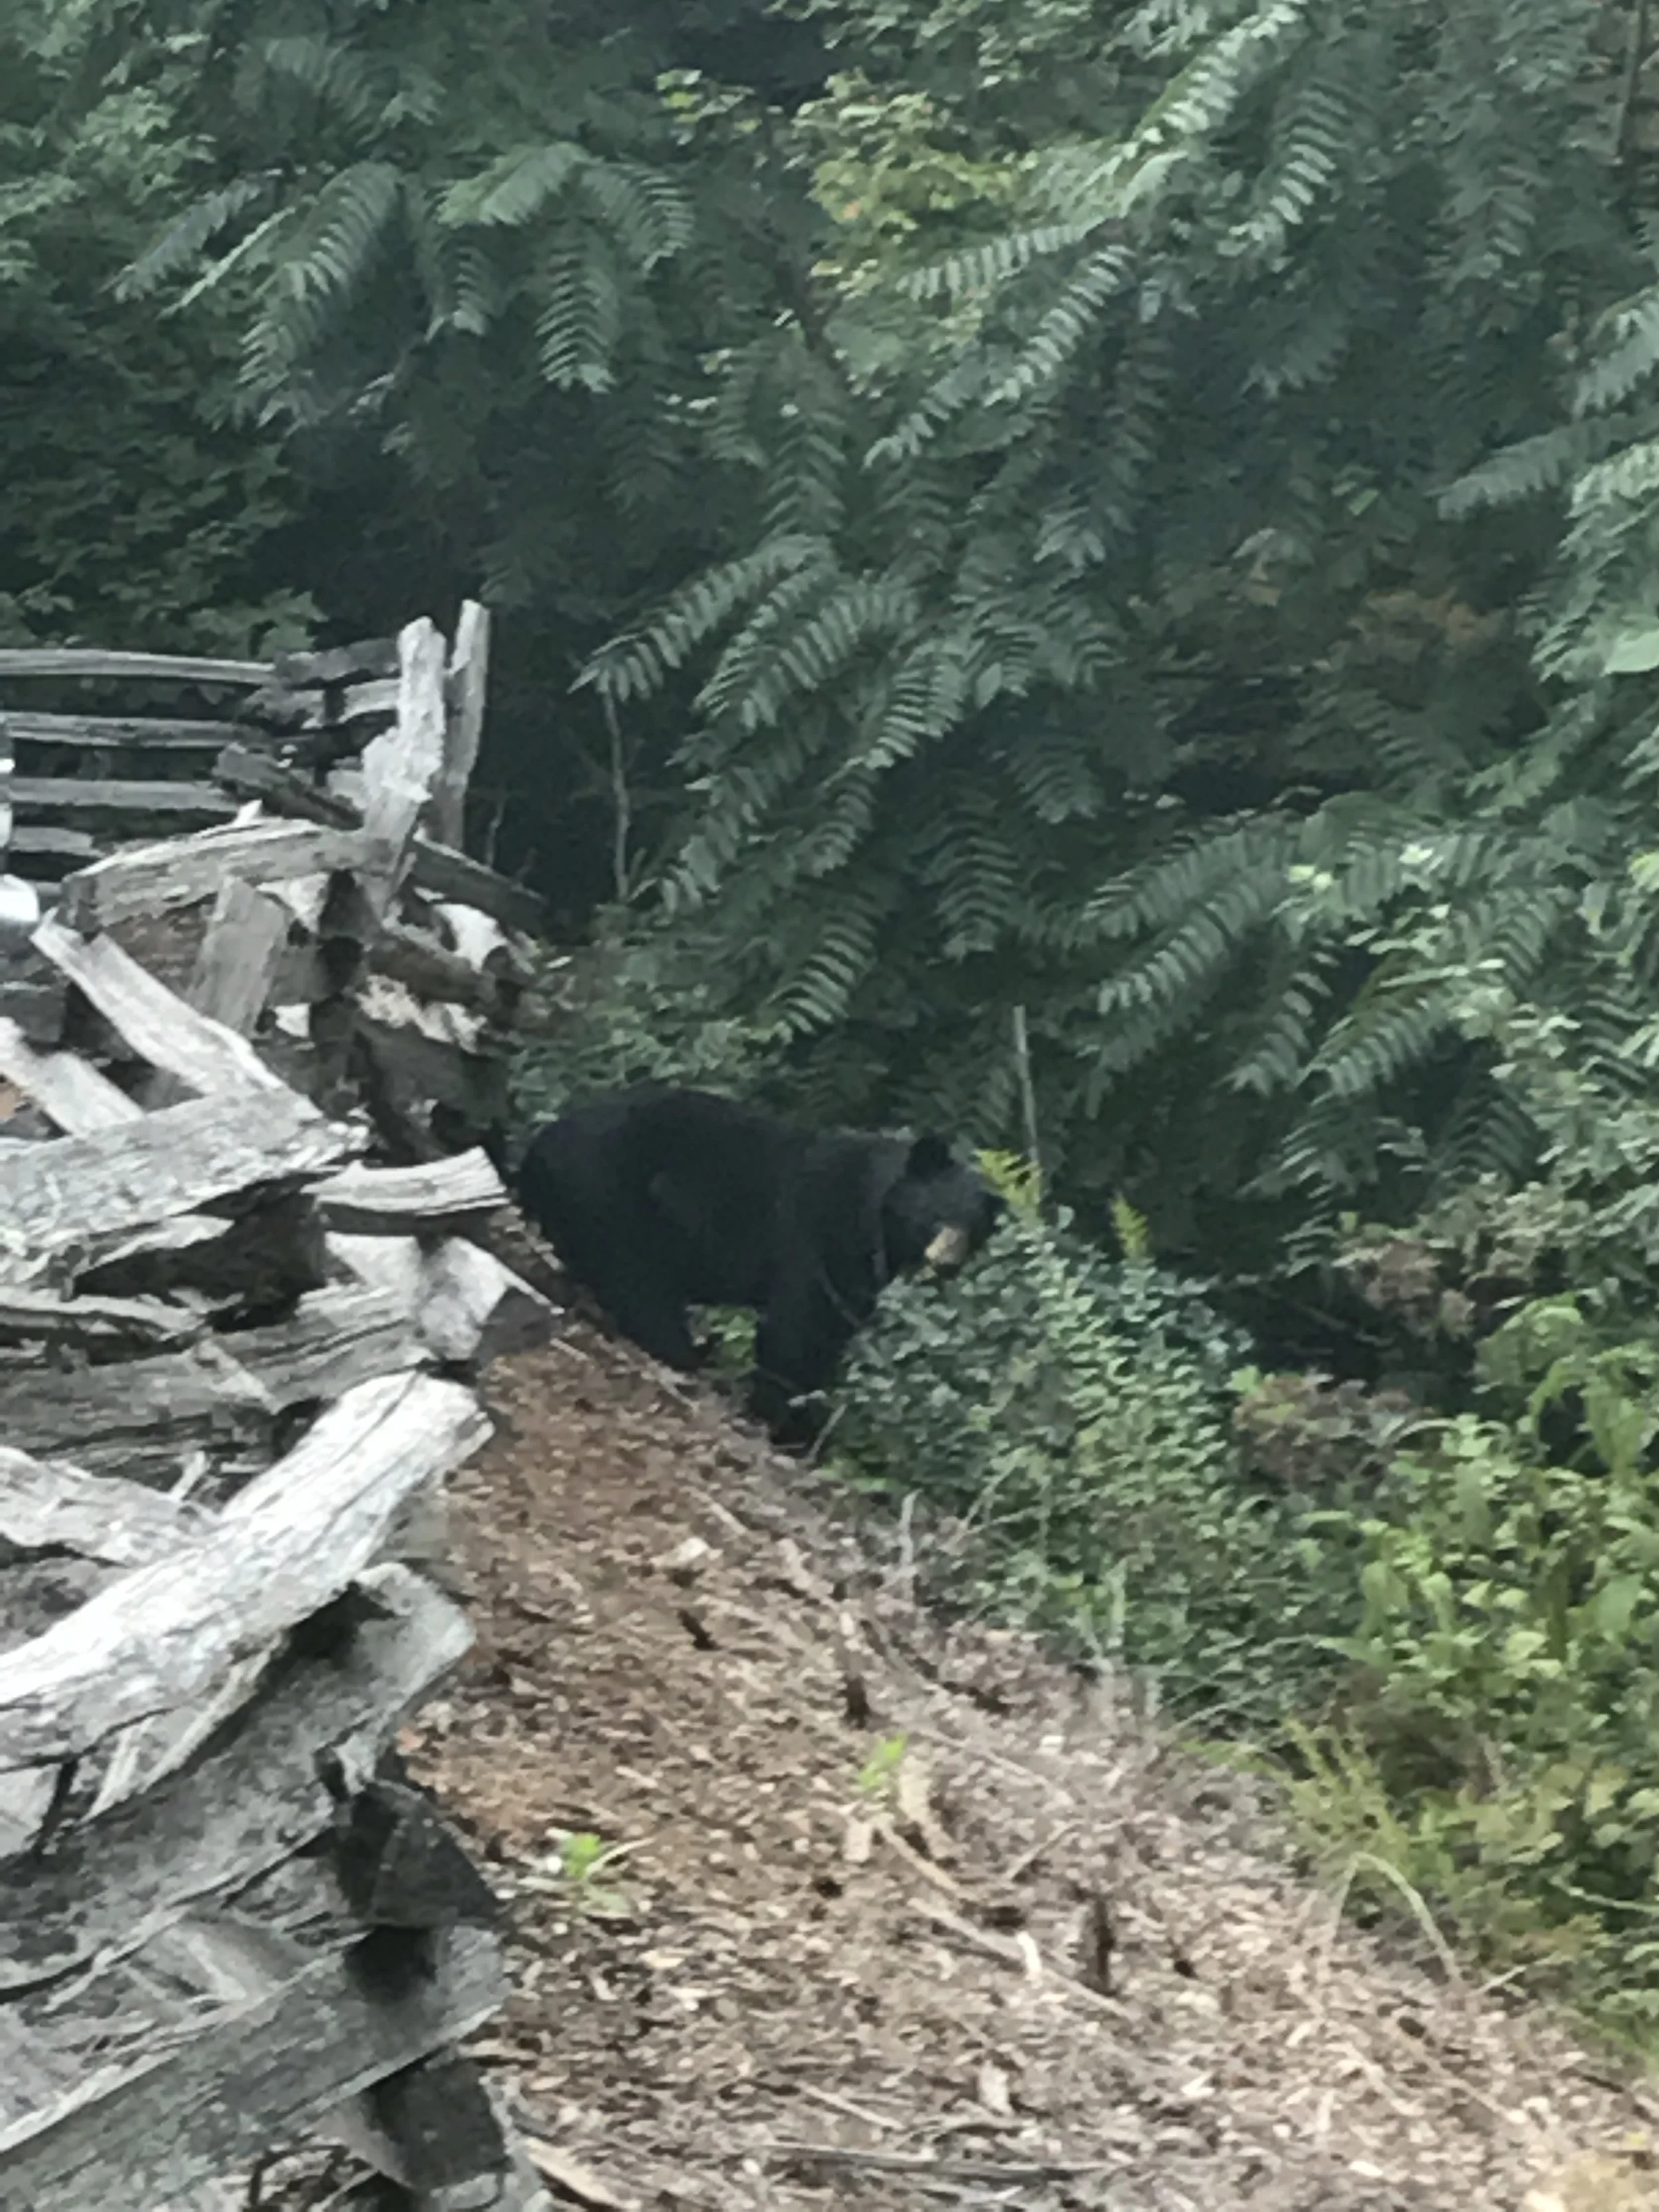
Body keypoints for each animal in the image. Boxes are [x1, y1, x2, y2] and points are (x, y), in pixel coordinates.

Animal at [515, 1082, 1003, 1444]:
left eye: (972, 1229)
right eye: (934, 1216)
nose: (946, 1263)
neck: (869, 1214)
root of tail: (536, 1149)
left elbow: (829, 1333)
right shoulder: (816, 1237)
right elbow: (797, 1330)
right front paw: (788, 1425)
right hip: (610, 1200)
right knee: (638, 1285)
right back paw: (687, 1354)